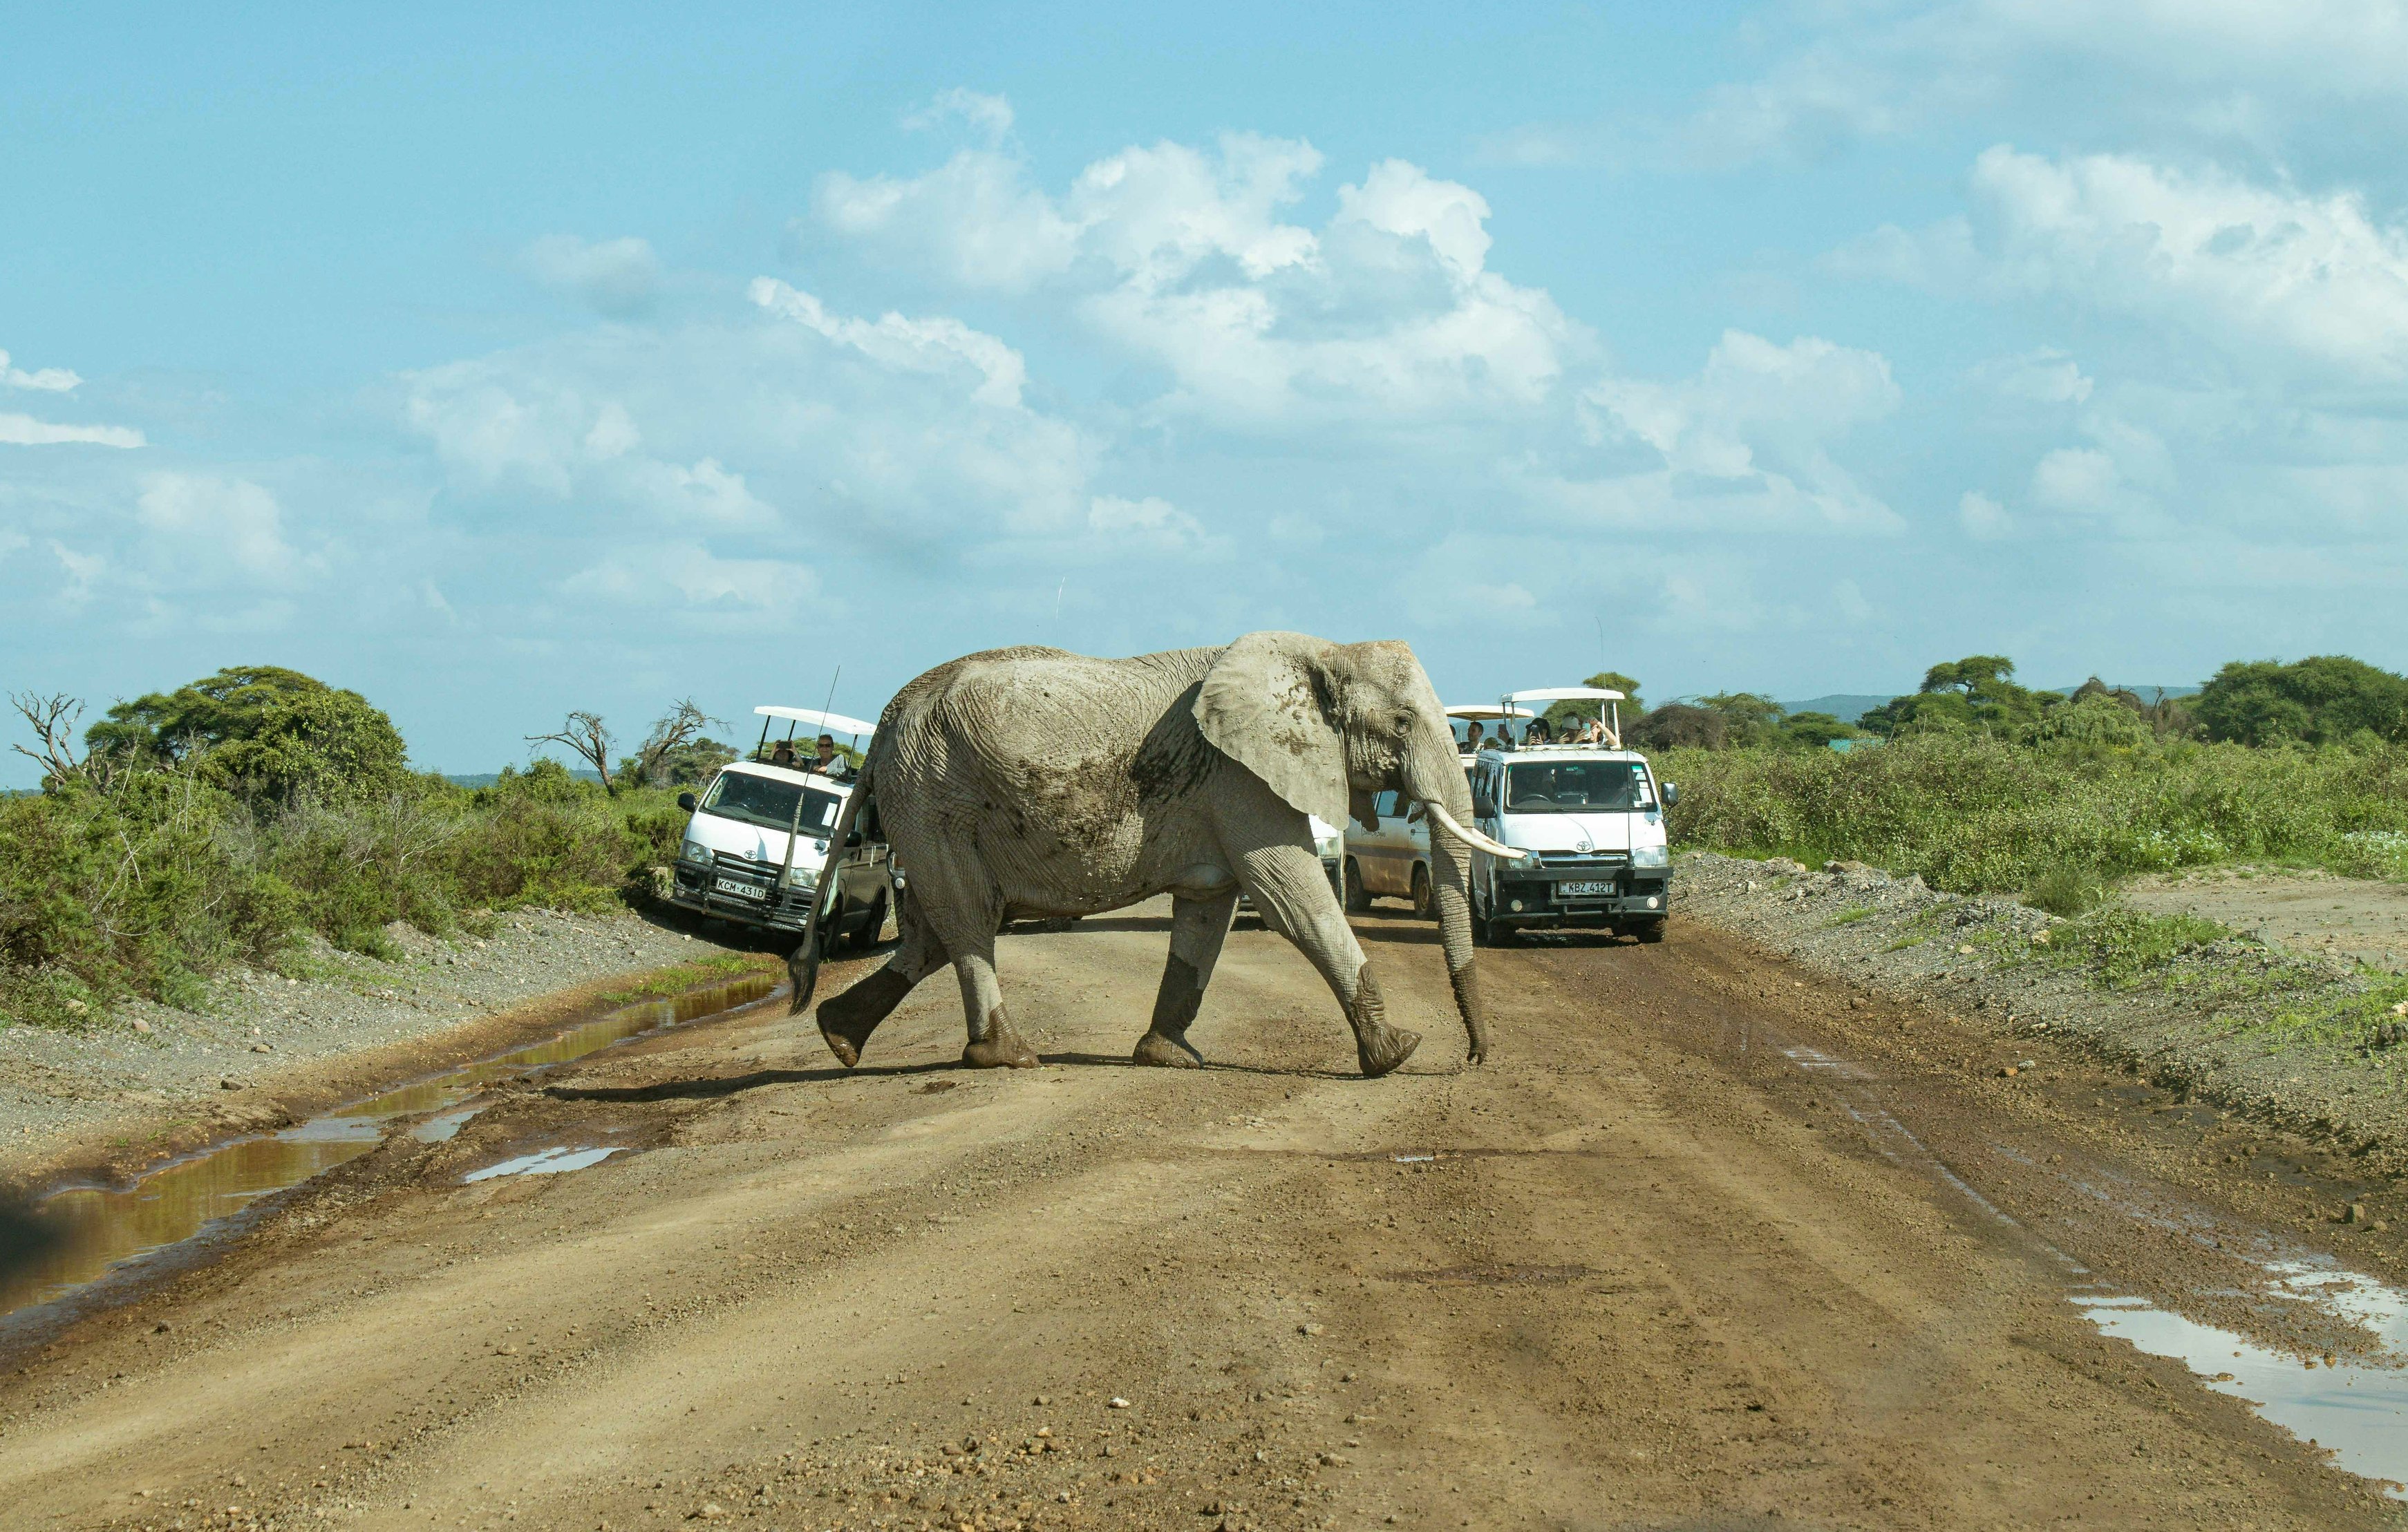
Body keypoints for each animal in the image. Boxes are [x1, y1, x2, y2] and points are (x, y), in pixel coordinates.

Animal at [788, 632, 1516, 1077]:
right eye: (1401, 724)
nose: (1474, 1059)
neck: (1318, 652)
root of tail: (890, 715)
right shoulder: (1241, 780)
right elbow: (1294, 900)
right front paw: (1396, 1055)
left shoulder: (1222, 793)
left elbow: (1205, 916)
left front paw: (1168, 1057)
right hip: (935, 796)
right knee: (967, 920)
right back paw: (1011, 1057)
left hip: (925, 803)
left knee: (936, 932)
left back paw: (837, 1036)